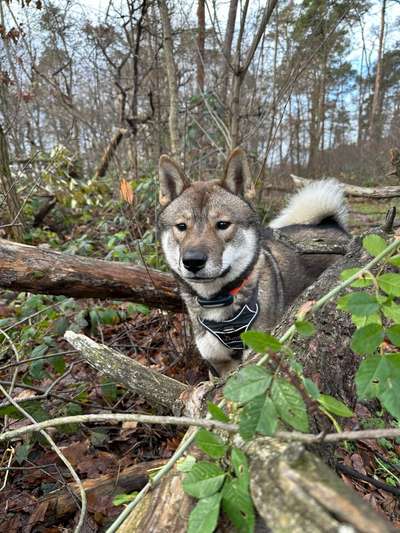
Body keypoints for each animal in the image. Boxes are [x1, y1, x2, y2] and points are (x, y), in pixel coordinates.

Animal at [156, 148, 346, 376]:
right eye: (182, 227)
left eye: (222, 224)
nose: (193, 261)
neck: (218, 301)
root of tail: (333, 226)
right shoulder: (217, 365)